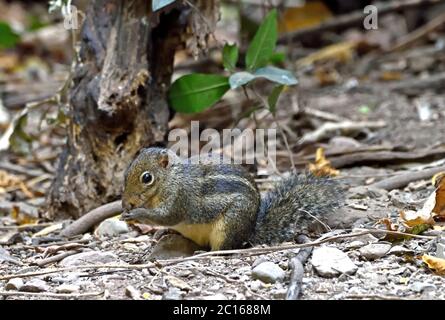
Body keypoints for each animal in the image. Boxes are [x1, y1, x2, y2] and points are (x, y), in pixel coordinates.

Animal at [121, 147, 344, 250]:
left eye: (147, 178)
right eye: (126, 171)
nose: (126, 203)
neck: (171, 178)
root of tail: (250, 230)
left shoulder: (180, 197)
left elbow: (167, 216)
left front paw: (136, 213)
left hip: (228, 226)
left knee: (223, 248)